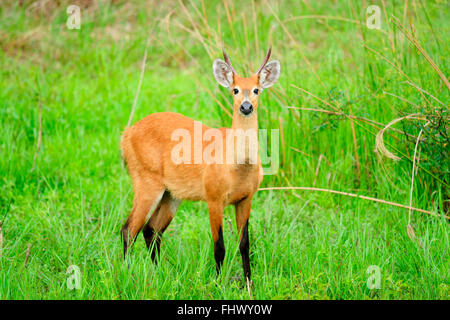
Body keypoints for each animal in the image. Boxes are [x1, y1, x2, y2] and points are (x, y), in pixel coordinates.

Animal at [120, 45, 282, 280]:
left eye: (256, 90)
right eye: (235, 90)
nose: (246, 107)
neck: (237, 167)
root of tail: (126, 135)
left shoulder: (246, 198)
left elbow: (244, 244)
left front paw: (249, 282)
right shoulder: (214, 197)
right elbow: (219, 246)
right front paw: (217, 282)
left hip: (171, 194)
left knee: (151, 229)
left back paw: (160, 273)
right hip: (146, 182)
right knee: (129, 229)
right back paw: (127, 273)